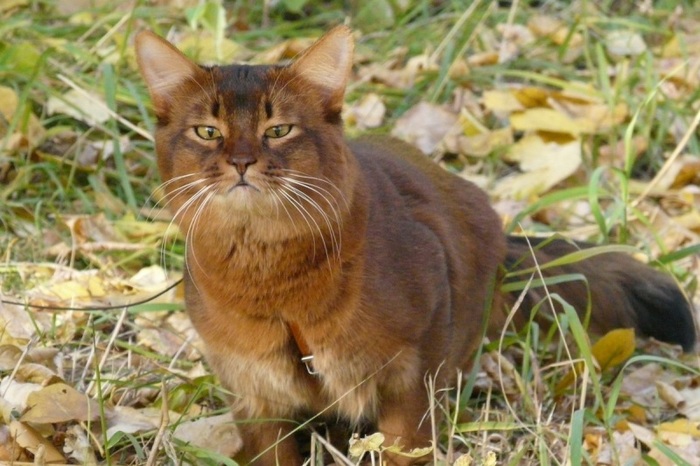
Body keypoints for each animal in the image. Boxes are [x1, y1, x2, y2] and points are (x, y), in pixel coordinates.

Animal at [134, 26, 696, 466]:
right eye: (208, 131)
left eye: (279, 130)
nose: (242, 162)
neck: (270, 278)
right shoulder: (252, 392)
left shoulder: (413, 364)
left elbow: (407, 445)